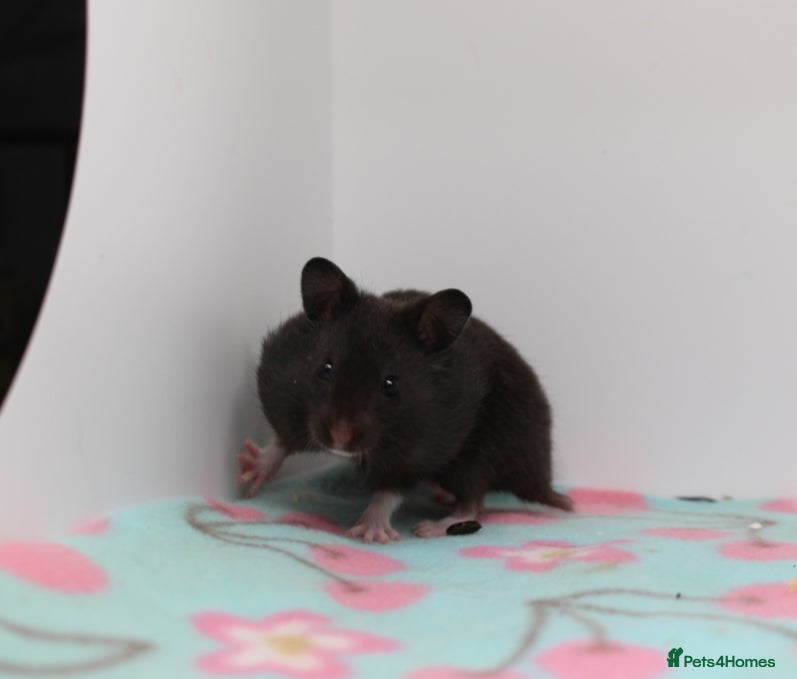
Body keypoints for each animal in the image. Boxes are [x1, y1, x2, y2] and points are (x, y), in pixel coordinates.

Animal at [238, 257, 571, 543]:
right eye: (326, 367)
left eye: (391, 384)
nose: (339, 438)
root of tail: (541, 477)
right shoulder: (283, 396)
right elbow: (282, 443)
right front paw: (247, 471)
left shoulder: (420, 450)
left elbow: (390, 491)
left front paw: (370, 533)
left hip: (479, 456)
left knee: (473, 502)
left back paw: (429, 527)